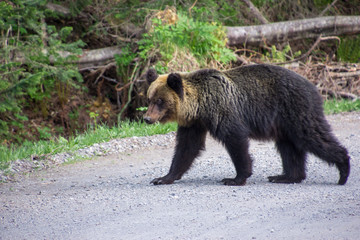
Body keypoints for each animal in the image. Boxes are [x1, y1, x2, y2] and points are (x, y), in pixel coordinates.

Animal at [143, 64, 348, 187]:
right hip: (283, 123)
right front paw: (162, 178)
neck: (201, 106)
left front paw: (235, 178)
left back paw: (343, 170)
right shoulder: (194, 123)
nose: (147, 118)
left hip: (295, 109)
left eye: (160, 101)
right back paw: (285, 176)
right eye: (150, 98)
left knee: (312, 136)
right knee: (288, 147)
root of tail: (314, 87)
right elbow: (187, 148)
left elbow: (235, 141)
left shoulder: (223, 111)